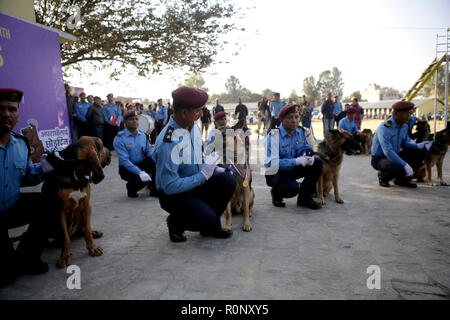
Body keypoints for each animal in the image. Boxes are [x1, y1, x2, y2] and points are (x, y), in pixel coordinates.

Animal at [42, 136, 111, 268]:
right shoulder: (60, 212)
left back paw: (94, 232)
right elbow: (65, 238)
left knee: (83, 229)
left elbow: (87, 230)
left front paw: (92, 247)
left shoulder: (87, 206)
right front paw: (64, 256)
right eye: (101, 145)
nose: (110, 152)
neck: (76, 172)